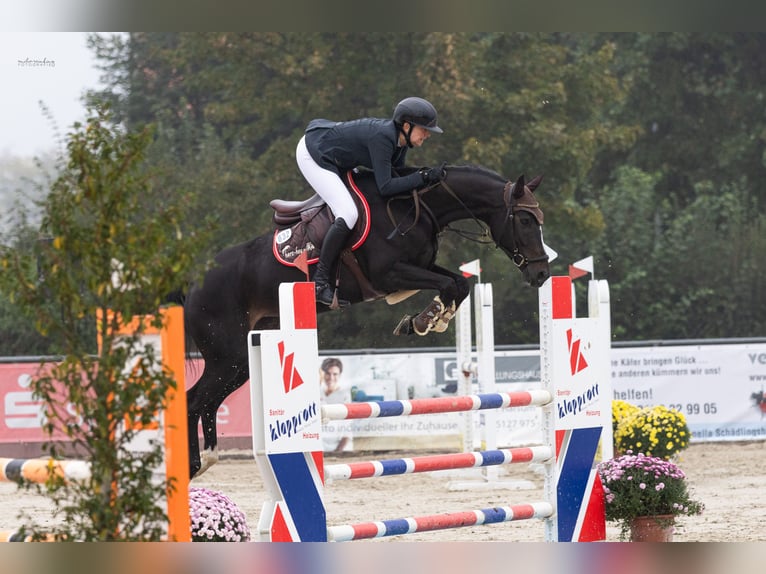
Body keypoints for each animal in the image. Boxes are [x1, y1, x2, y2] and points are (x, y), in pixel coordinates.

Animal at [183, 164, 548, 480]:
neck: (415, 207)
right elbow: (448, 284)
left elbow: (458, 283)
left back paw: (208, 459)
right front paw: (425, 320)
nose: (542, 273)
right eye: (525, 220)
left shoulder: (418, 268)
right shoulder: (390, 274)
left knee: (205, 400)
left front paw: (430, 319)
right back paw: (194, 465)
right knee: (194, 400)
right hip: (228, 357)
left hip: (243, 357)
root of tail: (194, 282)